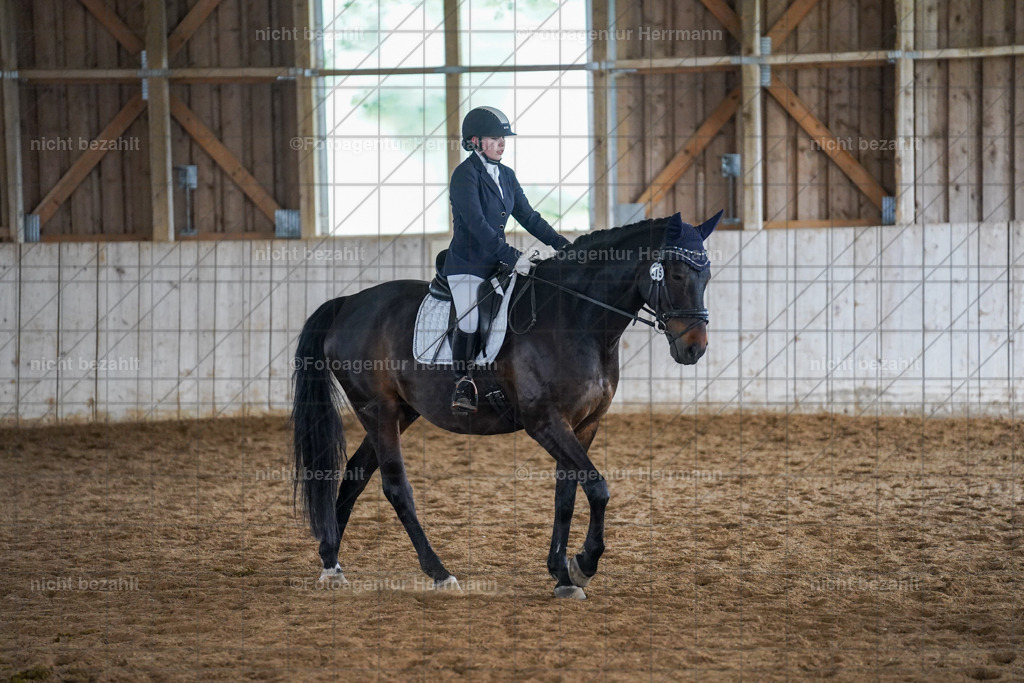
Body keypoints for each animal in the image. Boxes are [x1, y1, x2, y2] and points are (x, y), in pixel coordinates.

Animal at [291, 211, 721, 599]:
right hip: (378, 411)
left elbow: (566, 495)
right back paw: (440, 574)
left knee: (354, 476)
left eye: (707, 277)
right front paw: (583, 565)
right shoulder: (545, 422)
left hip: (398, 412)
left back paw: (331, 564)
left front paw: (561, 574)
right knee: (396, 488)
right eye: (676, 275)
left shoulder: (583, 425)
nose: (695, 348)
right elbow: (597, 488)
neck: (577, 317)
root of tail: (348, 303)